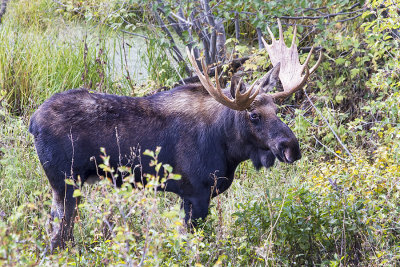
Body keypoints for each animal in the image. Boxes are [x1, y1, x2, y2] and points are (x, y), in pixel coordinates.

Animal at [28, 19, 322, 251]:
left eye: (277, 109)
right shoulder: (196, 193)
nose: (291, 146)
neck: (229, 148)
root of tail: (32, 122)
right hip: (65, 183)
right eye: (254, 115)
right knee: (58, 237)